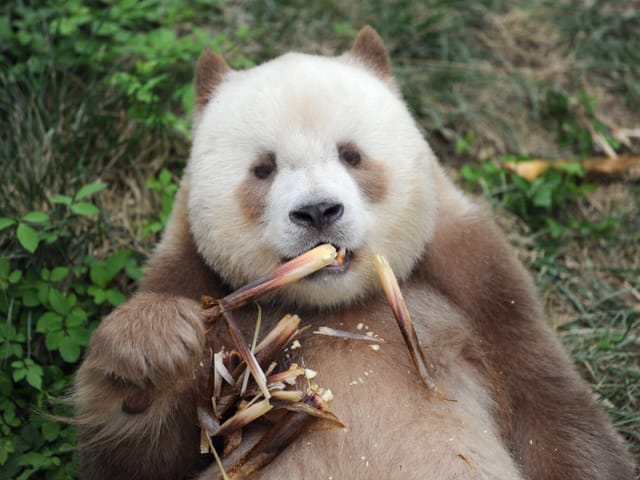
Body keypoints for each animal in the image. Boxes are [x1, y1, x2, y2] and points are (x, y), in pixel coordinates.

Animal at [75, 27, 636, 480]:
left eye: (352, 155)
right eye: (263, 168)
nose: (318, 212)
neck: (340, 307)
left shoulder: (479, 286)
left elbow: (552, 415)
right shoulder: (194, 278)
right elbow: (143, 459)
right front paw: (152, 349)